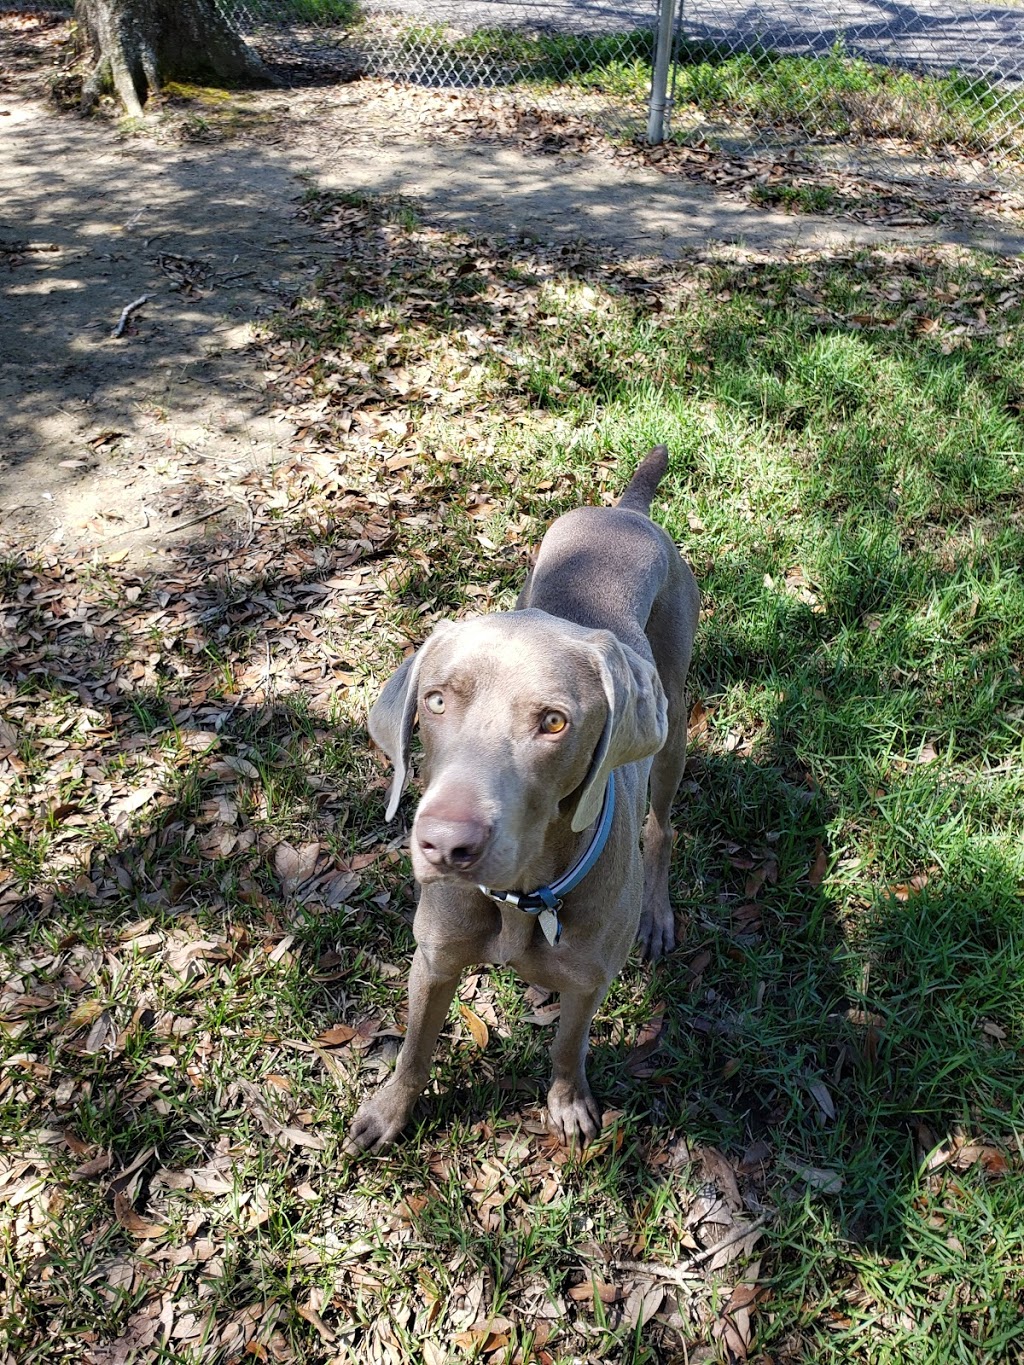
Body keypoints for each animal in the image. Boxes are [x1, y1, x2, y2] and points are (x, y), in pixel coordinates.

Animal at [349, 447, 704, 1152]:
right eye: (435, 700)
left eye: (554, 723)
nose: (445, 845)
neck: (522, 898)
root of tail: (626, 510)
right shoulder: (433, 961)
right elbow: (414, 1048)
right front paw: (388, 1112)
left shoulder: (589, 980)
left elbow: (569, 1046)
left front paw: (568, 1104)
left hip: (673, 718)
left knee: (662, 826)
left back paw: (655, 914)